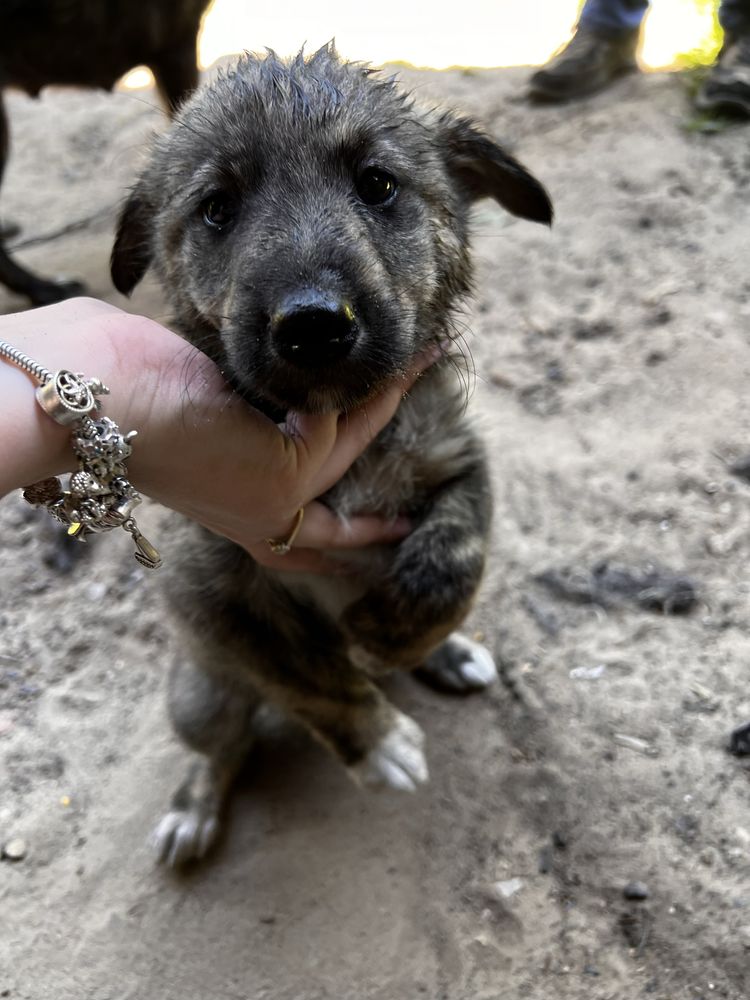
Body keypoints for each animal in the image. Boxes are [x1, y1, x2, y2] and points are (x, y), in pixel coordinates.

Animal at [111, 45, 556, 868]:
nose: (314, 325)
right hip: (199, 695)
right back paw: (194, 805)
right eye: (217, 207)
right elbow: (307, 676)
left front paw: (389, 634)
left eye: (378, 185)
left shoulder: (459, 458)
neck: (342, 436)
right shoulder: (211, 590)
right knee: (221, 746)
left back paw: (445, 655)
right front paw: (376, 740)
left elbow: (454, 560)